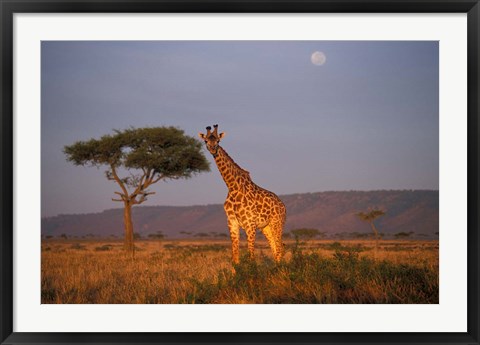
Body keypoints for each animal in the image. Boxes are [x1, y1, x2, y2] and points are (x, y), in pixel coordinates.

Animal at [198, 125, 284, 262]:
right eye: (206, 141)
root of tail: (283, 206)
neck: (233, 187)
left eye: (218, 141)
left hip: (277, 223)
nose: (212, 149)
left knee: (280, 249)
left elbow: (251, 256)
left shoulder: (250, 224)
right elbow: (235, 257)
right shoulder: (232, 223)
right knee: (275, 249)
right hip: (266, 227)